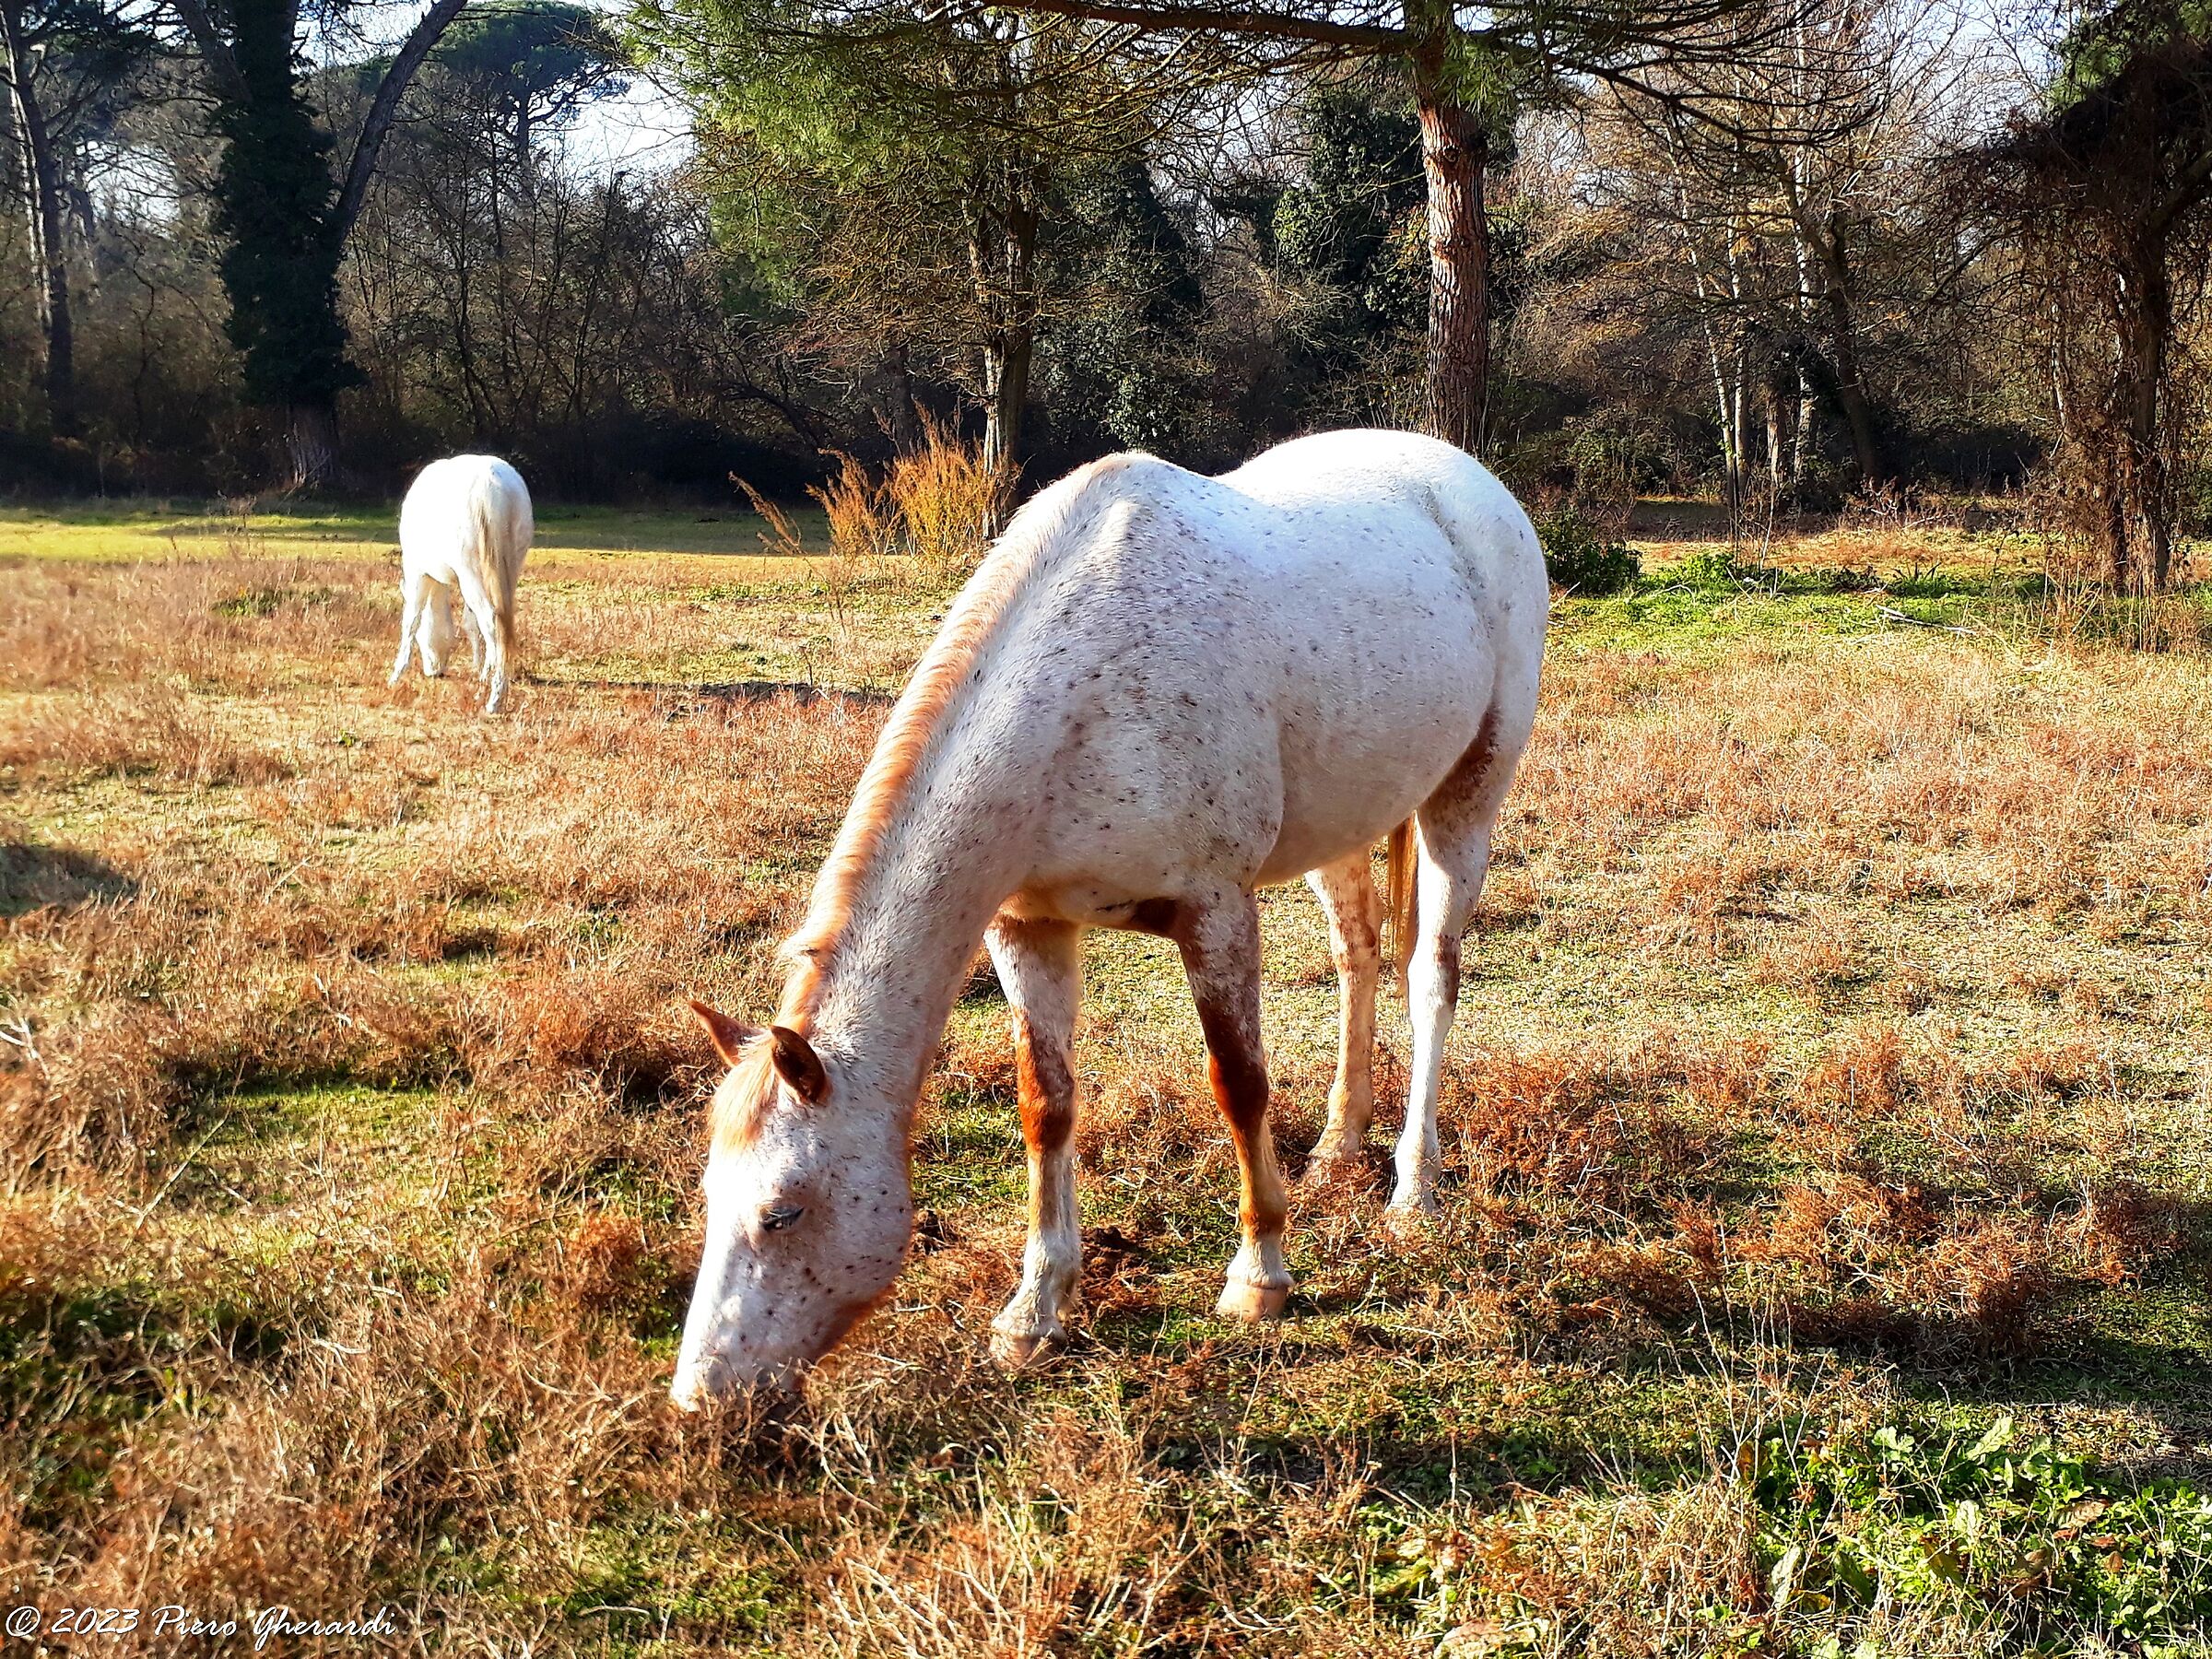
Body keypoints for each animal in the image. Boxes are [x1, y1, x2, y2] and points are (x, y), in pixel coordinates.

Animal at [389, 454, 533, 714]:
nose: (434, 671)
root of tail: (492, 486)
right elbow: (469, 622)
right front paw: (480, 671)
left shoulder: (417, 570)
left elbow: (411, 620)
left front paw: (396, 675)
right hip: (509, 567)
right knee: (501, 621)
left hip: (471, 570)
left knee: (491, 621)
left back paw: (494, 699)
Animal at [674, 428, 1549, 1404]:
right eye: (708, 1197)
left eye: (783, 1212)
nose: (701, 1392)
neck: (1082, 694)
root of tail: (1467, 479)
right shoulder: (1027, 928)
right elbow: (1046, 1105)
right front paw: (1034, 1310)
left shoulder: (1216, 909)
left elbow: (1238, 1084)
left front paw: (1259, 1277)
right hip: (1348, 820)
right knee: (1358, 957)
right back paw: (1337, 1144)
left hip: (1465, 799)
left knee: (1431, 979)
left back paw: (1412, 1191)